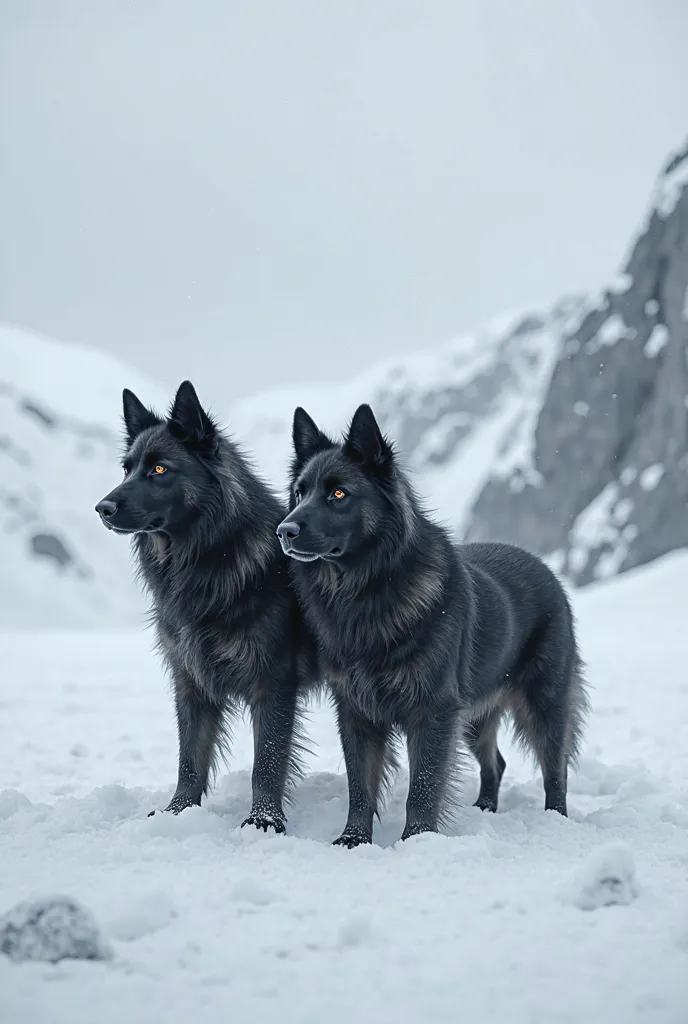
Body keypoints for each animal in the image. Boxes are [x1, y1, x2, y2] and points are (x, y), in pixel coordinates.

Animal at [95, 382, 315, 831]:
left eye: (160, 469)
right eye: (127, 469)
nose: (102, 509)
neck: (205, 560)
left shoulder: (272, 682)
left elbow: (266, 762)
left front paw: (264, 821)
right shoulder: (191, 681)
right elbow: (190, 758)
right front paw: (177, 812)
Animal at [276, 403, 589, 843]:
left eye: (338, 494)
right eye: (300, 493)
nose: (283, 530)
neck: (367, 592)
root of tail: (545, 569)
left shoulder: (433, 712)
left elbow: (423, 786)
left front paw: (417, 841)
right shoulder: (356, 711)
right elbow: (361, 784)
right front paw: (353, 840)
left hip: (544, 704)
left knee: (555, 767)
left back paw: (555, 819)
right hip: (474, 716)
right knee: (496, 763)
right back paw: (485, 809)